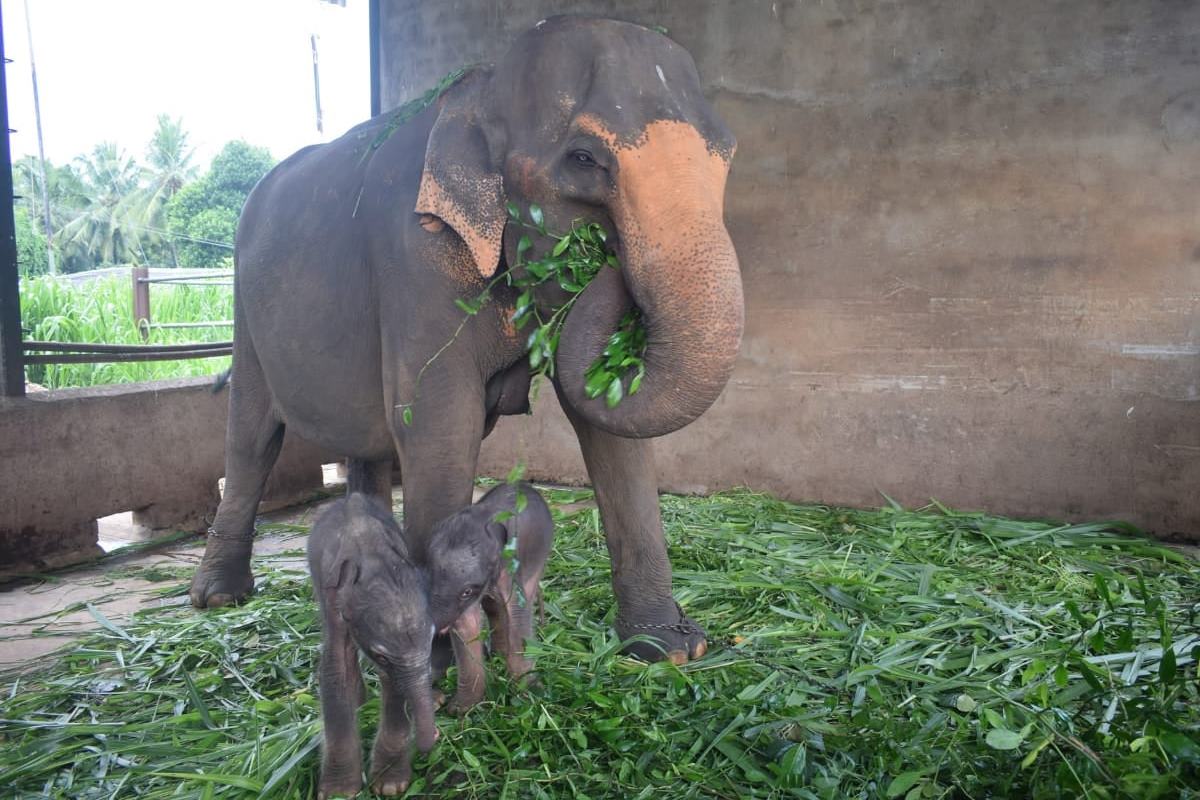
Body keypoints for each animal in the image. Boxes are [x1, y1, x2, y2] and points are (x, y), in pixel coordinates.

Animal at [189, 18, 739, 666]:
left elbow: (607, 426)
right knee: (251, 437)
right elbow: (438, 422)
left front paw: (672, 649)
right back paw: (219, 597)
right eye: (583, 159)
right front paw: (442, 657)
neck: (483, 89)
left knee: (366, 443)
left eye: (728, 155)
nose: (606, 259)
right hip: (244, 311)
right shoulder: (416, 254)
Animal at [307, 494, 439, 800]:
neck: (369, 552)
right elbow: (335, 667)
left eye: (432, 639)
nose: (435, 736)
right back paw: (359, 702)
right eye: (381, 655)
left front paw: (389, 785)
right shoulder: (333, 596)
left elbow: (394, 684)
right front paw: (339, 792)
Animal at [429, 482, 554, 714]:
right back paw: (498, 654)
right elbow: (466, 625)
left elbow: (518, 613)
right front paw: (460, 709)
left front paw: (530, 693)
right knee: (493, 607)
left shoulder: (511, 565)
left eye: (467, 592)